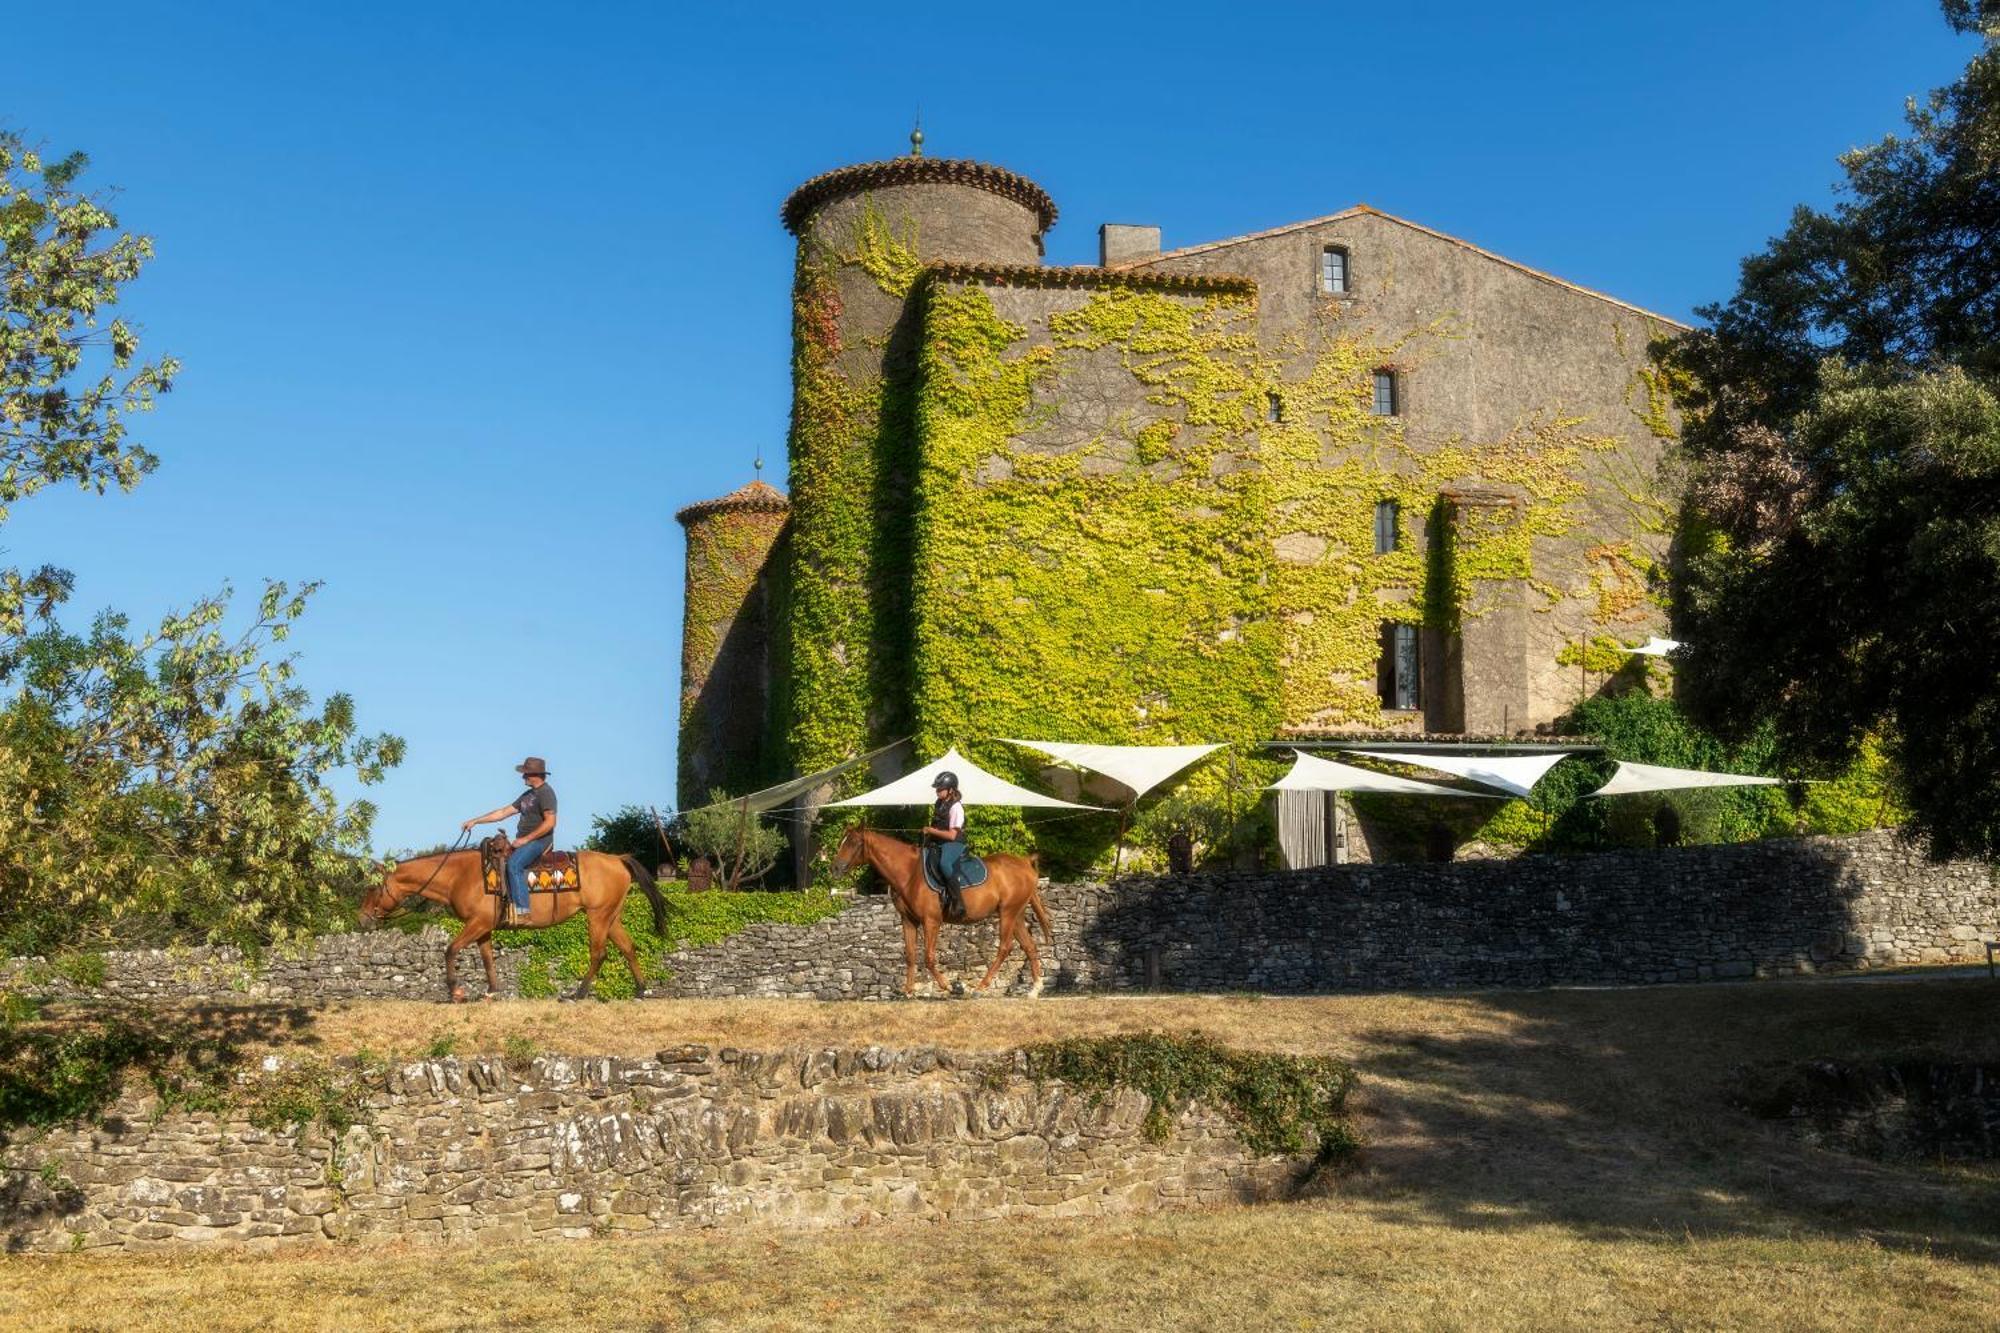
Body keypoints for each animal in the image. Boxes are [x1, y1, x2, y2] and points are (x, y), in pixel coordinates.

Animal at [360, 852, 664, 996]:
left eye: (373, 888)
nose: (361, 918)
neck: (461, 876)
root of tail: (617, 859)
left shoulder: (477, 923)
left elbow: (450, 949)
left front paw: (455, 990)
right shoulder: (483, 927)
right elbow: (486, 958)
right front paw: (492, 990)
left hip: (597, 916)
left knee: (598, 953)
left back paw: (577, 994)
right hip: (611, 916)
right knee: (628, 947)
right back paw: (640, 990)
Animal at [828, 820, 1056, 996]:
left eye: (854, 843)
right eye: (841, 842)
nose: (835, 868)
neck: (909, 873)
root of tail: (1024, 862)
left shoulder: (931, 921)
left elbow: (928, 958)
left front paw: (949, 987)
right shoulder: (908, 921)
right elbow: (910, 955)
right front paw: (908, 991)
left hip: (1008, 913)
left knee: (1005, 947)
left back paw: (980, 987)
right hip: (1015, 914)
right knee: (1029, 946)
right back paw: (1034, 990)